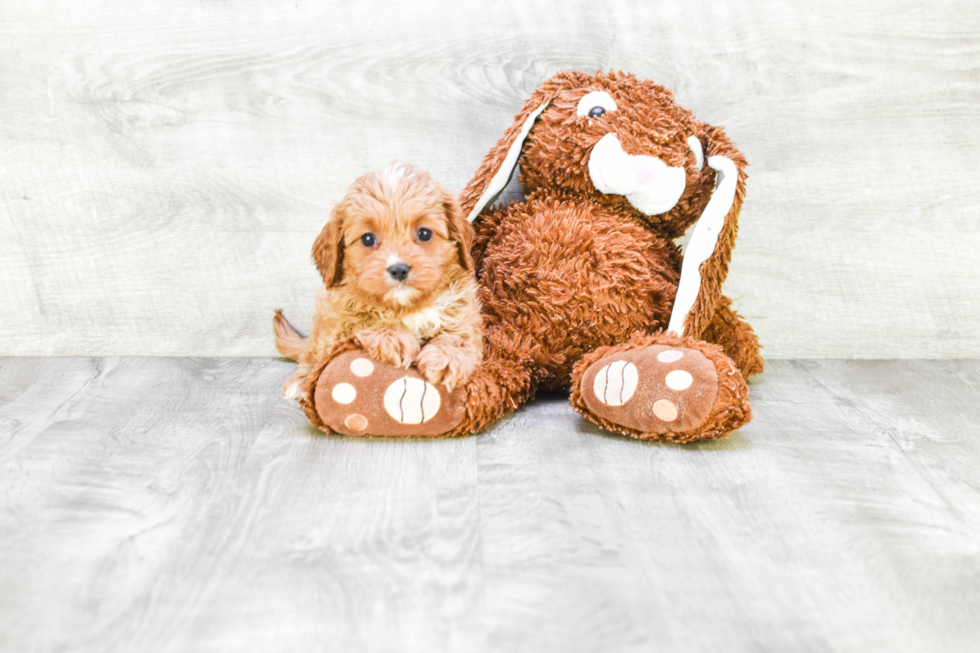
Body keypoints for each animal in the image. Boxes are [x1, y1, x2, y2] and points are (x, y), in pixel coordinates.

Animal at [274, 163, 484, 398]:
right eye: (368, 239)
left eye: (424, 233)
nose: (399, 269)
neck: (406, 307)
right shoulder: (338, 321)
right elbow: (364, 319)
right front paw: (393, 335)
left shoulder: (464, 312)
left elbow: (458, 336)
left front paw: (447, 357)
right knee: (311, 356)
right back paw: (301, 380)